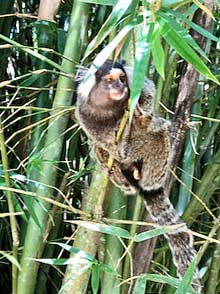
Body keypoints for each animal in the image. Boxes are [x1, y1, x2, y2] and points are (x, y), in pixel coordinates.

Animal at [75, 60, 201, 292]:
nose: (119, 86)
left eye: (122, 78)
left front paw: (138, 117)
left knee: (158, 132)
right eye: (110, 80)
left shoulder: (138, 85)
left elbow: (149, 93)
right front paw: (113, 148)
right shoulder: (85, 112)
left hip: (157, 161)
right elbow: (100, 137)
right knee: (102, 152)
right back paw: (117, 170)